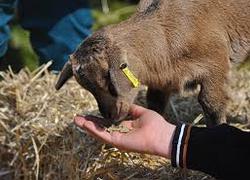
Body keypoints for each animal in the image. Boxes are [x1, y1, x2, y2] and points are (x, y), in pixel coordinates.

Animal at [55, 0, 250, 126]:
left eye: (110, 84)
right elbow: (155, 103)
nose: (110, 117)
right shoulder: (162, 80)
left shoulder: (216, 65)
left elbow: (211, 103)